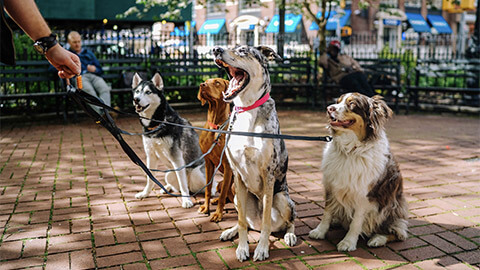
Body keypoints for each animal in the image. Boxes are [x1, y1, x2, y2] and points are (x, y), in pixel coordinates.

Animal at [131, 74, 210, 209]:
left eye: (148, 92)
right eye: (137, 91)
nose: (136, 99)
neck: (157, 124)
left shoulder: (177, 158)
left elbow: (182, 183)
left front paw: (186, 201)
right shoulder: (150, 155)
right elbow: (150, 178)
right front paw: (145, 193)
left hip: (196, 174)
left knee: (201, 186)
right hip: (169, 174)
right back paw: (167, 188)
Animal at [197, 77, 234, 221]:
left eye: (217, 82)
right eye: (206, 81)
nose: (202, 85)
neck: (216, 126)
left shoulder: (228, 165)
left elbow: (223, 195)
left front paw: (218, 214)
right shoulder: (208, 162)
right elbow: (208, 189)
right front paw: (206, 208)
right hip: (220, 183)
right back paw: (215, 200)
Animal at [214, 46, 296, 262]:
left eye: (243, 50)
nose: (216, 49)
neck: (247, 109)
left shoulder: (268, 175)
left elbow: (267, 220)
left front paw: (261, 249)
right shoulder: (237, 175)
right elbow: (242, 221)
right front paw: (242, 248)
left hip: (283, 199)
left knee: (289, 222)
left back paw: (290, 235)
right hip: (236, 196)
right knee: (247, 222)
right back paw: (230, 231)